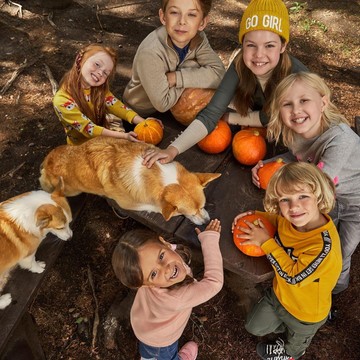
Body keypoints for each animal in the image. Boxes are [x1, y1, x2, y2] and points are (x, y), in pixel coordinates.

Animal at [0, 178, 72, 310]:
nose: (70, 238)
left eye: (70, 222)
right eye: (60, 228)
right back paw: (5, 300)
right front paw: (39, 268)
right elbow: (32, 263)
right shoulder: (28, 255)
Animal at [38, 138, 219, 225]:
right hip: (69, 189)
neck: (154, 172)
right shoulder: (131, 204)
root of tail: (46, 162)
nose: (206, 222)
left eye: (202, 206)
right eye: (191, 213)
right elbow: (156, 207)